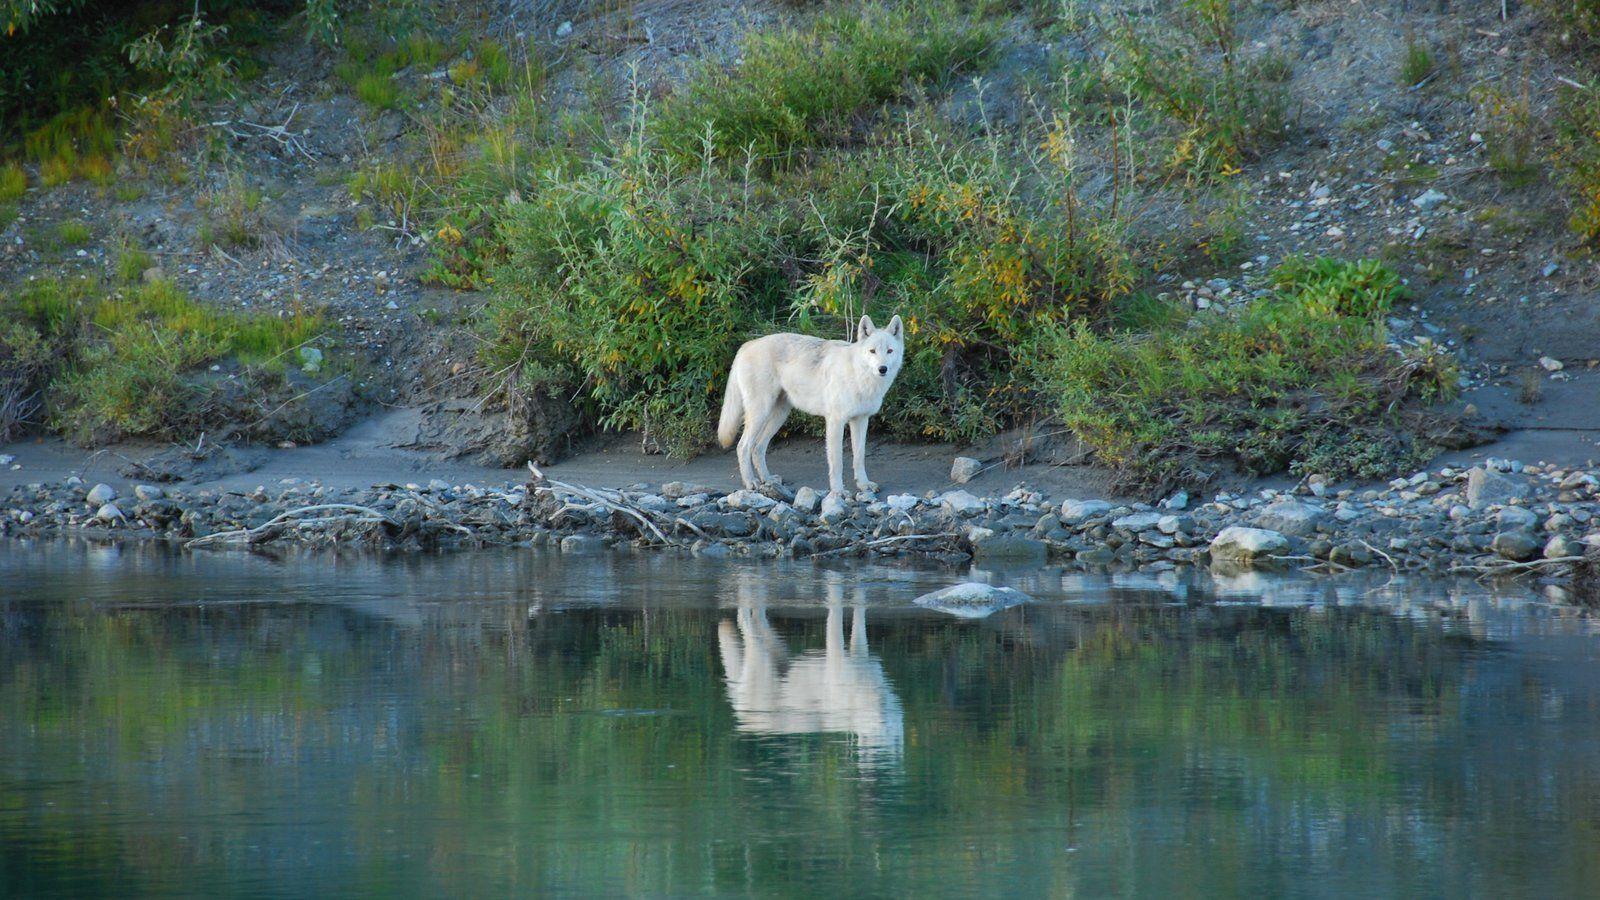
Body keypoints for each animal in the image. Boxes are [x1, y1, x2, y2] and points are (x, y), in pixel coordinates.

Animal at [718, 314, 904, 497]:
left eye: (889, 351)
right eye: (872, 351)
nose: (882, 368)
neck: (860, 376)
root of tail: (746, 345)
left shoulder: (861, 420)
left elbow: (859, 457)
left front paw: (864, 485)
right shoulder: (835, 422)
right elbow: (837, 462)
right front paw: (838, 491)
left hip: (779, 416)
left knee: (758, 448)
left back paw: (768, 480)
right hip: (760, 413)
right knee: (743, 446)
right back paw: (751, 482)